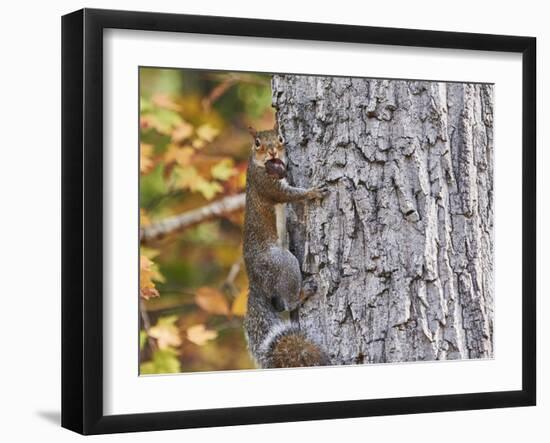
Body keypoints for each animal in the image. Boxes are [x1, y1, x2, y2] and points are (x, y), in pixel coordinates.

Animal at [244, 123, 330, 370]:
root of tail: (255, 283)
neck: (260, 165)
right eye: (257, 143)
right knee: (289, 303)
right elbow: (289, 194)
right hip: (281, 263)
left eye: (281, 138)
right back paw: (303, 292)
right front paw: (313, 192)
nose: (273, 151)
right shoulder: (266, 185)